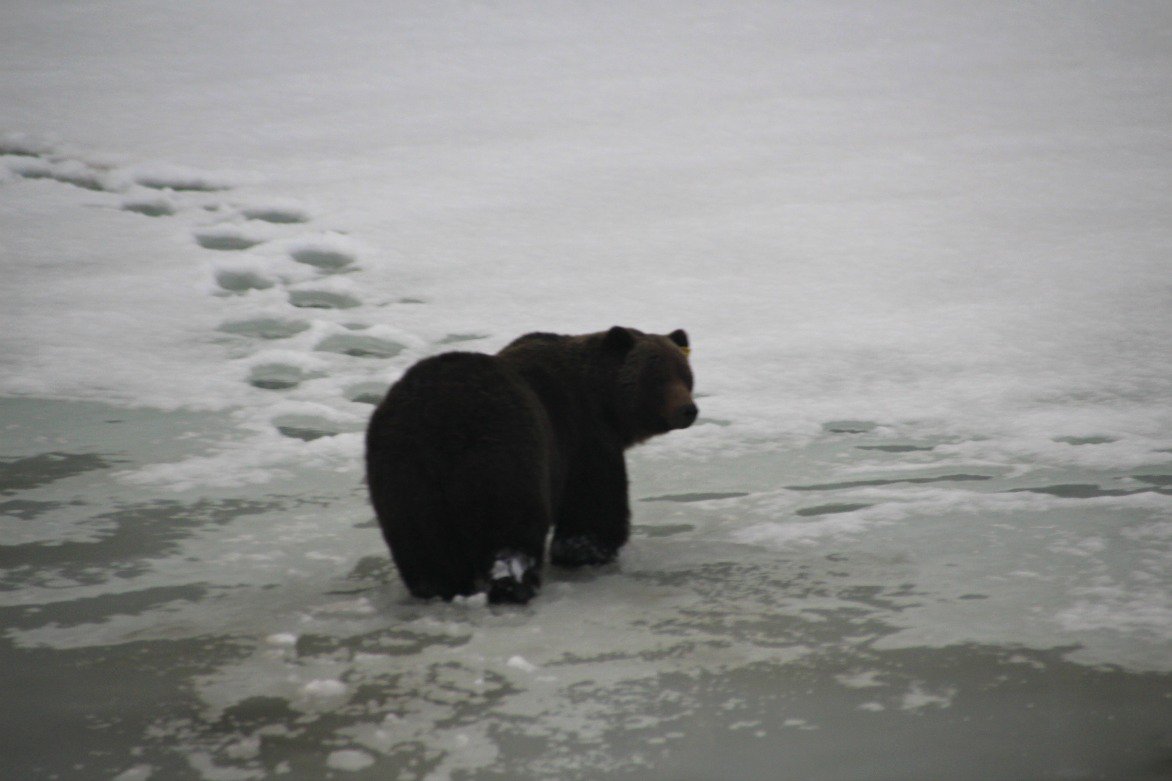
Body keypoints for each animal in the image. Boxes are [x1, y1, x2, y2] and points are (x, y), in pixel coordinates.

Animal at [364, 325, 696, 604]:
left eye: (685, 374)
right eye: (657, 377)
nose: (688, 410)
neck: (604, 402)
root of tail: (438, 421)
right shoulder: (582, 438)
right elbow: (592, 507)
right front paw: (587, 552)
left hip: (403, 475)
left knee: (423, 546)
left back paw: (438, 588)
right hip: (503, 455)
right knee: (511, 530)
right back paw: (515, 585)